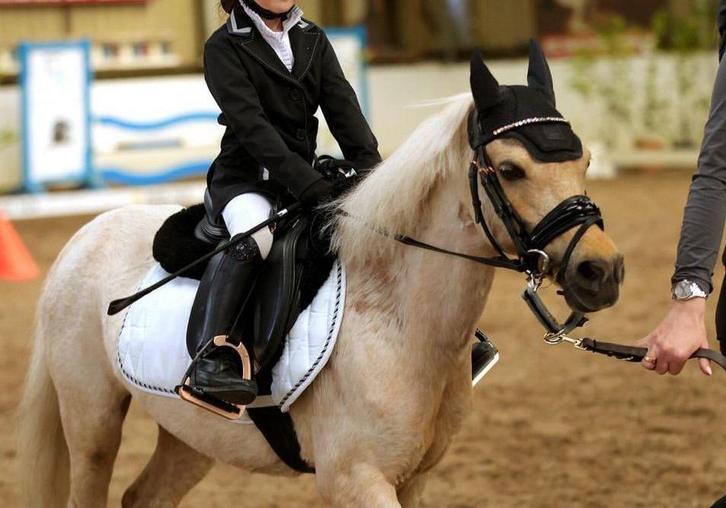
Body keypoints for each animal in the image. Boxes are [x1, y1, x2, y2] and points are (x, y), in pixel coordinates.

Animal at [17, 53, 623, 507]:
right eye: (513, 170)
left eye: (587, 160)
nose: (602, 271)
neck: (398, 323)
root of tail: (85, 235)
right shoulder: (356, 480)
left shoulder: (415, 479)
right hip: (93, 425)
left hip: (190, 432)